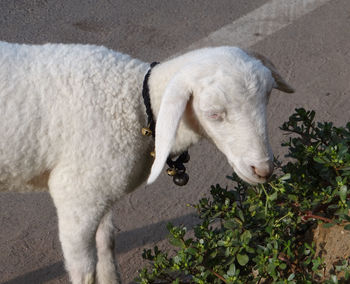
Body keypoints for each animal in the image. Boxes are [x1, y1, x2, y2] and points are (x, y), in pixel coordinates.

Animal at [0, 40, 294, 284]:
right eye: (213, 114)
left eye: (267, 97)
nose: (263, 169)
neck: (135, 105)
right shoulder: (76, 195)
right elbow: (84, 271)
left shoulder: (100, 190)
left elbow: (107, 244)